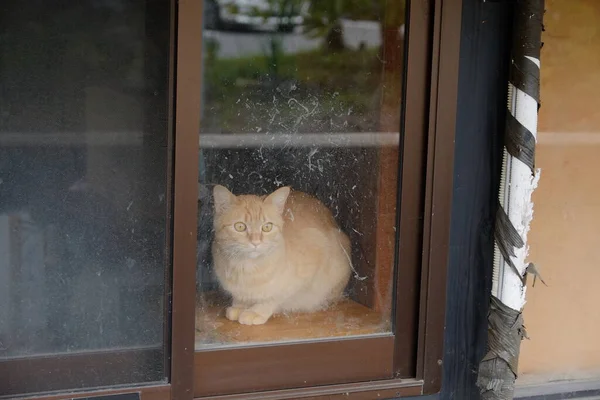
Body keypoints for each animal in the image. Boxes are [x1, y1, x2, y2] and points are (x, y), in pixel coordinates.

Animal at [212, 186, 350, 326]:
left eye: (267, 227)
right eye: (240, 226)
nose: (255, 242)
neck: (247, 268)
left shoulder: (316, 250)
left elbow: (275, 296)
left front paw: (256, 311)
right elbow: (241, 297)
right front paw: (240, 306)